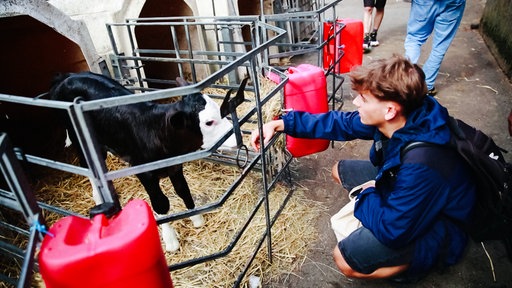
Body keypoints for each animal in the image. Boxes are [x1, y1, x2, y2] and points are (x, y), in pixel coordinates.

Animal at [49, 72, 237, 252]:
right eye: (208, 122)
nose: (235, 135)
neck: (157, 131)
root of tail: (65, 78)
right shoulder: (145, 174)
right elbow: (161, 204)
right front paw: (170, 241)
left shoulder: (175, 167)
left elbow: (183, 191)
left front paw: (197, 218)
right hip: (81, 140)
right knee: (88, 166)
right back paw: (98, 197)